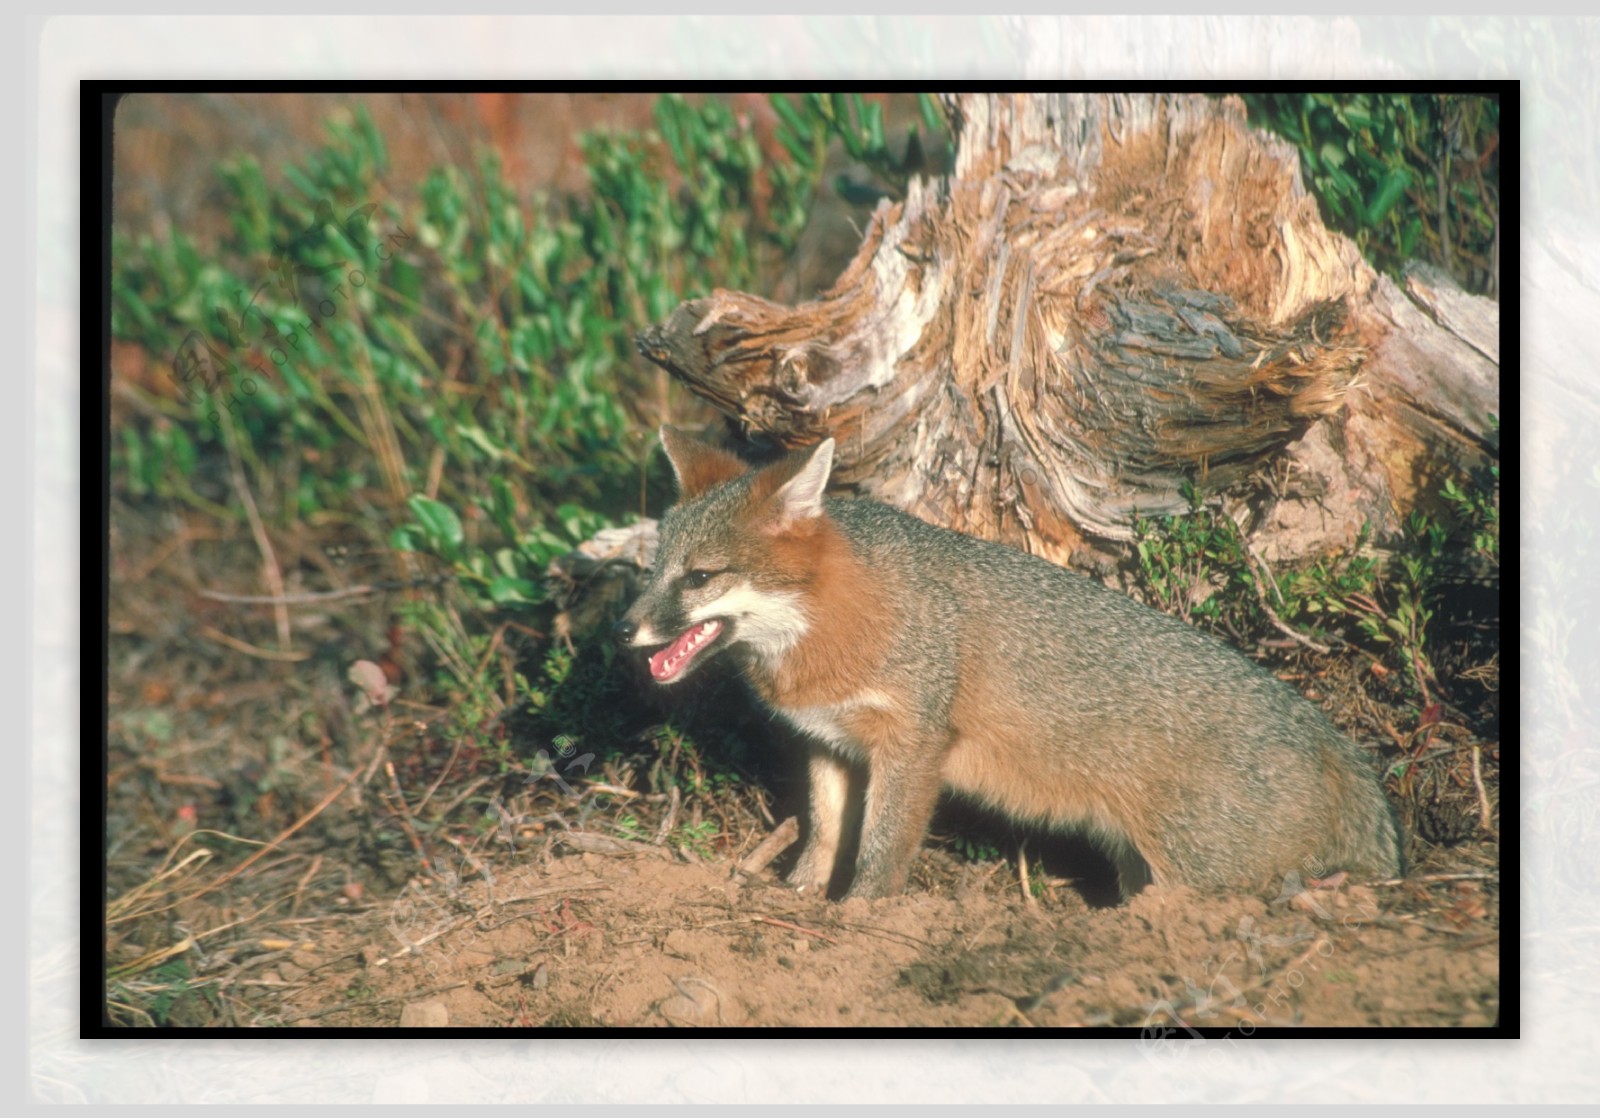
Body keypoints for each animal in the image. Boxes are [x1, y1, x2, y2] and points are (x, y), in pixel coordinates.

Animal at [611, 425, 1401, 902]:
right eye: (653, 570)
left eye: (699, 578)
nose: (623, 629)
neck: (832, 625)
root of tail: (1334, 741)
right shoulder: (829, 743)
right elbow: (826, 833)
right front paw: (800, 897)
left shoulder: (913, 745)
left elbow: (880, 847)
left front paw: (858, 915)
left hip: (1193, 874)